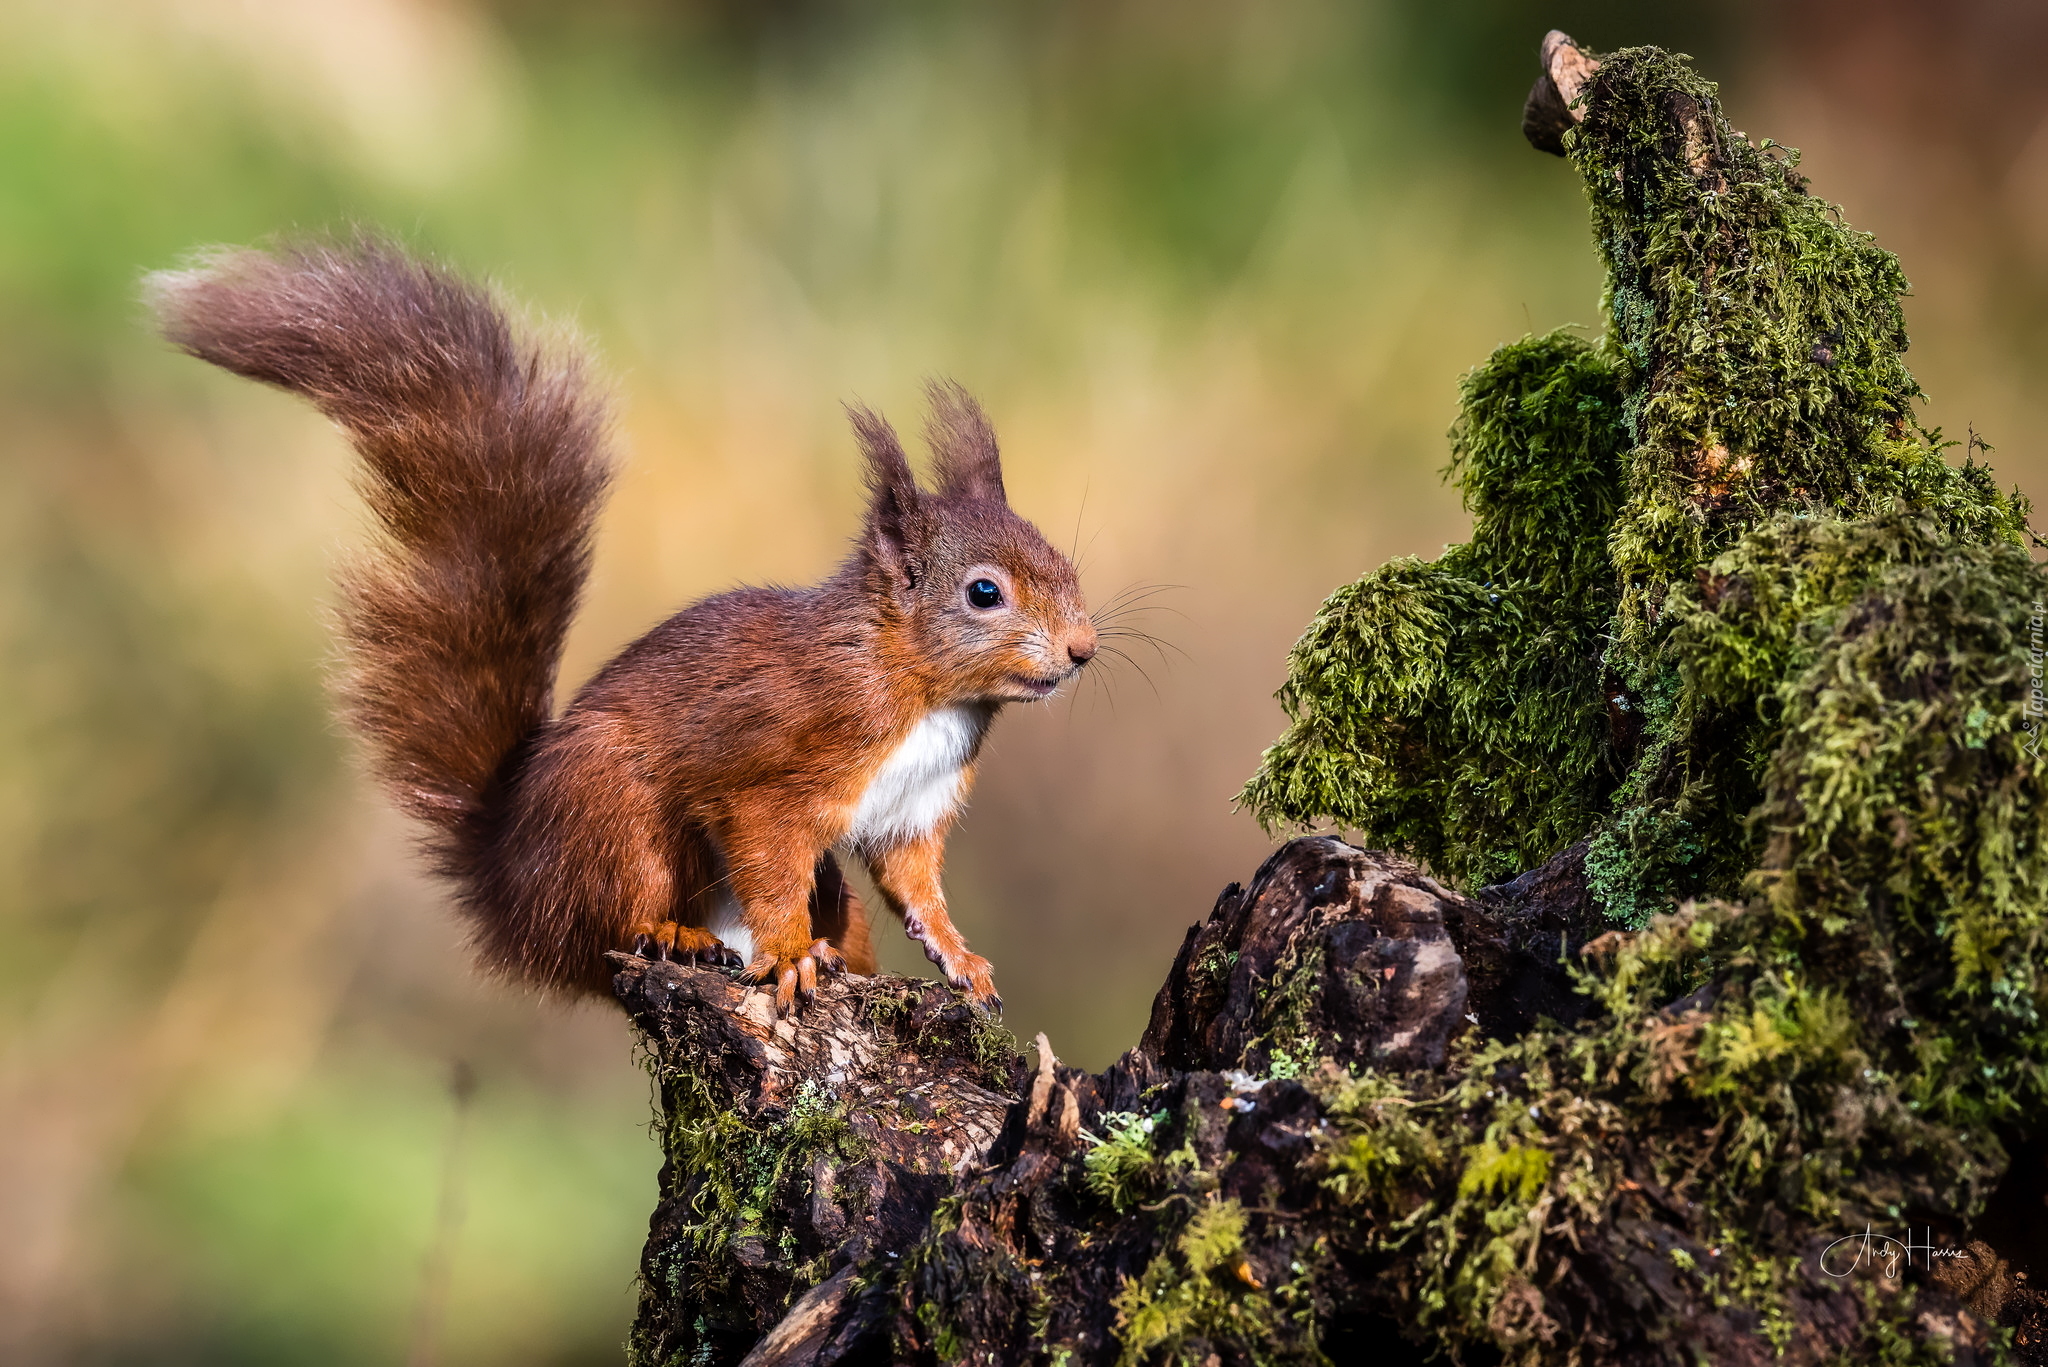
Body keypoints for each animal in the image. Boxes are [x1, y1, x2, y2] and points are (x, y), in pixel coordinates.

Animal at [151, 237, 1097, 1016]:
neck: (923, 689)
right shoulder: (777, 765)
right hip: (614, 814)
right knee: (610, 927)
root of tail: (512, 889)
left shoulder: (913, 808)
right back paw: (681, 934)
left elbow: (916, 889)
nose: (1083, 651)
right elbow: (768, 858)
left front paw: (963, 960)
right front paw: (791, 954)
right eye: (984, 593)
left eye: (1066, 564)